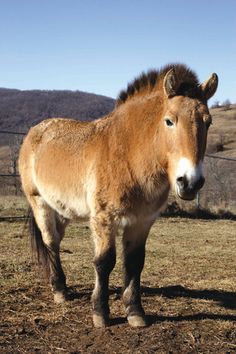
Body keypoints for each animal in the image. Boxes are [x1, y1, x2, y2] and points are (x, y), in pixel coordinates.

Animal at [18, 63, 218, 326]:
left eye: (208, 122)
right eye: (169, 121)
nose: (190, 183)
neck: (128, 155)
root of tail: (34, 131)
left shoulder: (142, 221)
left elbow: (134, 262)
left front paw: (135, 312)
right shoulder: (104, 218)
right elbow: (104, 262)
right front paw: (100, 313)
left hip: (62, 209)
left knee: (57, 241)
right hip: (39, 202)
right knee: (50, 241)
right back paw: (60, 290)